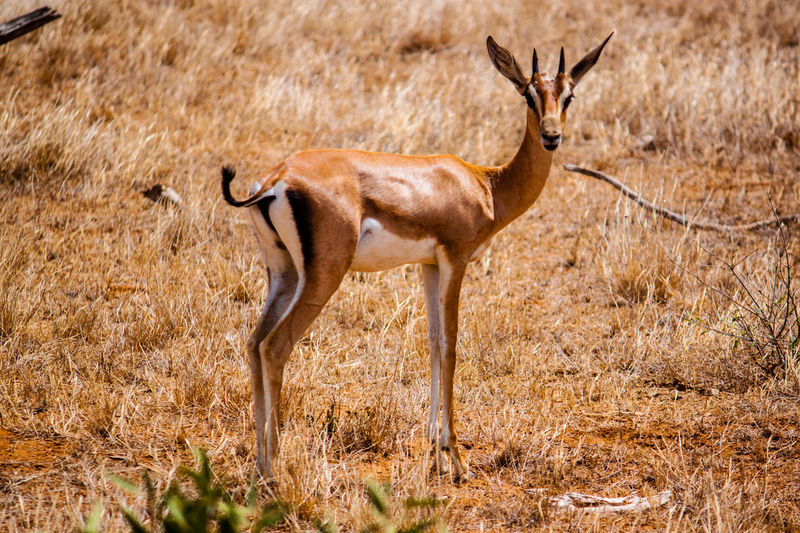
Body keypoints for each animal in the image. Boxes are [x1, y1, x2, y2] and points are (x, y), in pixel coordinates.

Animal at [222, 33, 612, 480]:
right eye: (528, 95)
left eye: (569, 95)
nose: (551, 137)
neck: (486, 185)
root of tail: (275, 180)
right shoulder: (456, 260)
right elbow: (451, 346)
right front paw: (457, 459)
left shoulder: (429, 266)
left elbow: (432, 342)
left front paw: (436, 453)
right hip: (323, 277)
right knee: (275, 347)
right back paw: (274, 469)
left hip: (283, 274)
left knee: (253, 344)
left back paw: (259, 464)